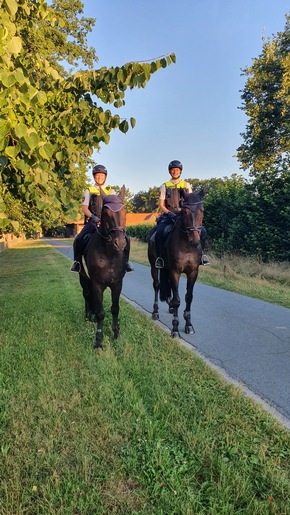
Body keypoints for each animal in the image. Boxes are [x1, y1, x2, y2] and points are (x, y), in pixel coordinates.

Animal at [79, 185, 128, 350]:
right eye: (105, 213)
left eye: (124, 212)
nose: (120, 243)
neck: (109, 255)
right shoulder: (97, 284)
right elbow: (101, 313)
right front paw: (99, 342)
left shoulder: (117, 284)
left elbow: (115, 309)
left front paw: (116, 334)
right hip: (83, 278)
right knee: (86, 295)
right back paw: (88, 317)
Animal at [147, 189, 206, 338]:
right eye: (184, 211)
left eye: (202, 209)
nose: (195, 240)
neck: (187, 245)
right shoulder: (175, 271)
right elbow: (178, 300)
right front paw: (175, 329)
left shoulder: (193, 272)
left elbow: (188, 297)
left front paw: (189, 324)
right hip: (154, 266)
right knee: (157, 286)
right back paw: (155, 312)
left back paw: (170, 307)